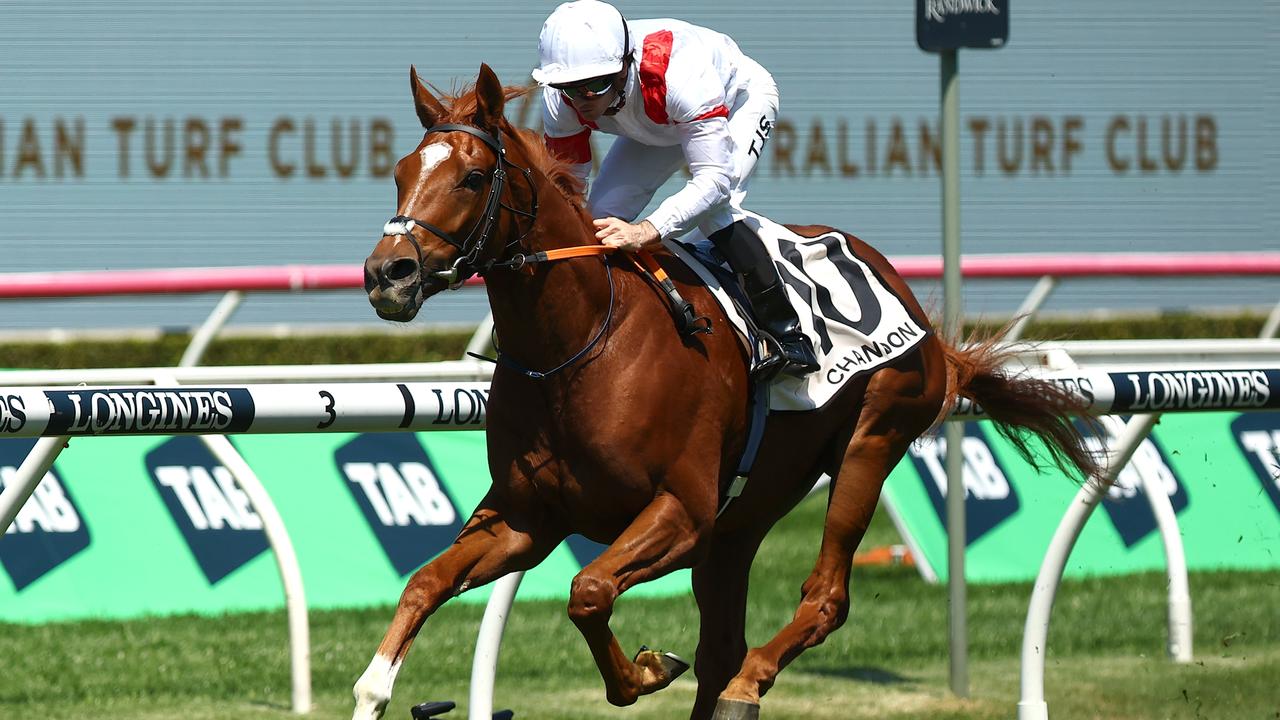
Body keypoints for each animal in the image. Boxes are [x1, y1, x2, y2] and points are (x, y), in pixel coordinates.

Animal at [355, 64, 1095, 712]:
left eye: (474, 177)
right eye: (399, 174)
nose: (387, 274)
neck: (576, 346)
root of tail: (923, 321)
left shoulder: (683, 511)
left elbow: (588, 590)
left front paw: (646, 671)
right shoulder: (526, 518)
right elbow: (425, 582)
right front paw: (372, 689)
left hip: (870, 441)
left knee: (822, 600)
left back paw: (751, 681)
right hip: (744, 518)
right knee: (721, 648)